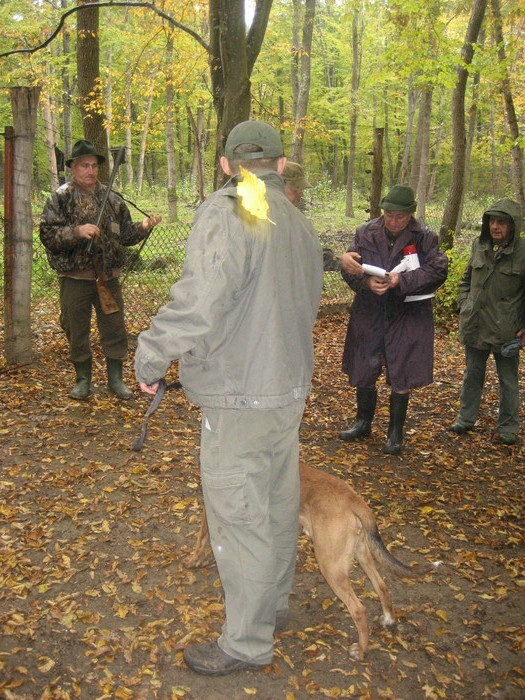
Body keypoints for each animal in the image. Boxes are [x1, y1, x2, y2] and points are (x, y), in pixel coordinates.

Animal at [184, 462, 438, 660]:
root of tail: (355, 500)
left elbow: (201, 538)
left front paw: (195, 559)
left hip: (330, 565)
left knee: (359, 610)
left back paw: (361, 651)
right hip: (362, 555)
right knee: (382, 586)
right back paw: (388, 619)